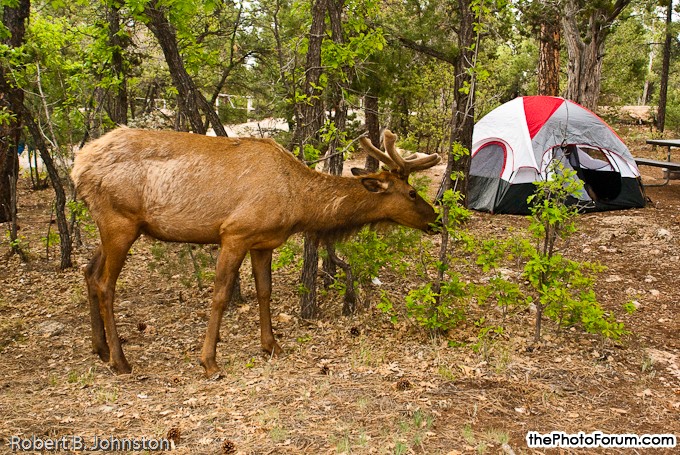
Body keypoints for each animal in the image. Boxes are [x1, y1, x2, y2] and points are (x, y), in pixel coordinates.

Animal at [69, 126, 440, 376]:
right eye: (411, 193)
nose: (435, 218)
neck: (299, 204)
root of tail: (78, 166)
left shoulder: (264, 242)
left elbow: (265, 291)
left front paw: (272, 345)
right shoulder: (234, 233)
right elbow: (220, 295)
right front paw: (209, 362)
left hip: (113, 227)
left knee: (88, 272)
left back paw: (99, 348)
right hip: (120, 221)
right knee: (105, 284)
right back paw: (120, 360)